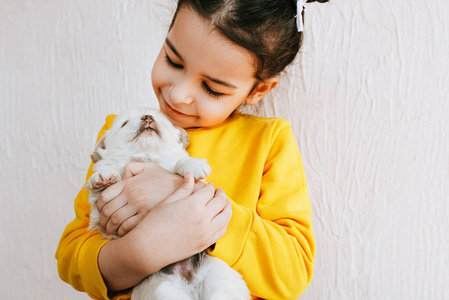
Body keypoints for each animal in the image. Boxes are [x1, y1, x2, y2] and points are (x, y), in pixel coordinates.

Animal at [84, 108, 248, 300]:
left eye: (161, 120)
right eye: (124, 124)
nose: (147, 117)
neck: (146, 158)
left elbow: (178, 163)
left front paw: (193, 164)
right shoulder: (100, 213)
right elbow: (102, 183)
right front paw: (102, 177)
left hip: (217, 276)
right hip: (163, 289)